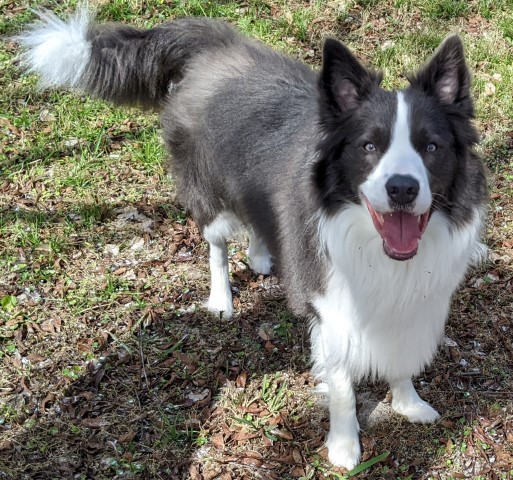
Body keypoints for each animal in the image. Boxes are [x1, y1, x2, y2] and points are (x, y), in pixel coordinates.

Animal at [18, 7, 486, 470]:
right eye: (369, 146)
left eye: (431, 147)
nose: (402, 188)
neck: (375, 247)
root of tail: (214, 41)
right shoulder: (329, 307)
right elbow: (341, 385)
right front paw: (344, 445)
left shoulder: (413, 301)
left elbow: (401, 356)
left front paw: (408, 403)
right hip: (208, 195)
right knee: (217, 245)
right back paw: (222, 298)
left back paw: (261, 255)